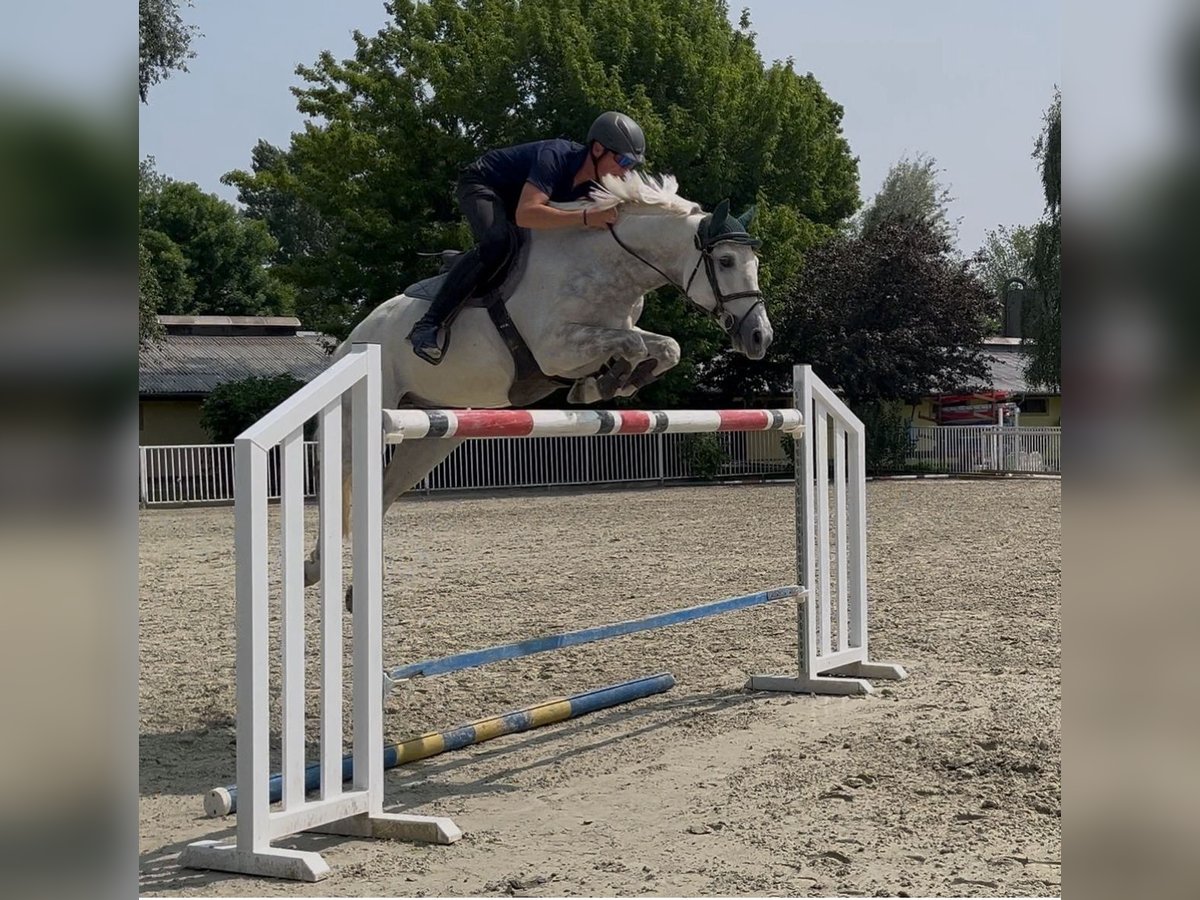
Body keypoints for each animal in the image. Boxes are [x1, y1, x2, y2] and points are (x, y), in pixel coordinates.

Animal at [303, 172, 772, 596]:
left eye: (755, 263)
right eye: (725, 262)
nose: (759, 338)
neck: (608, 267)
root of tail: (349, 344)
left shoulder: (607, 334)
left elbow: (664, 347)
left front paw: (608, 383)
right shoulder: (556, 349)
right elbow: (635, 343)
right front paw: (602, 383)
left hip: (432, 437)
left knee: (382, 492)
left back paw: (350, 588)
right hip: (357, 425)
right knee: (341, 488)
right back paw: (315, 569)